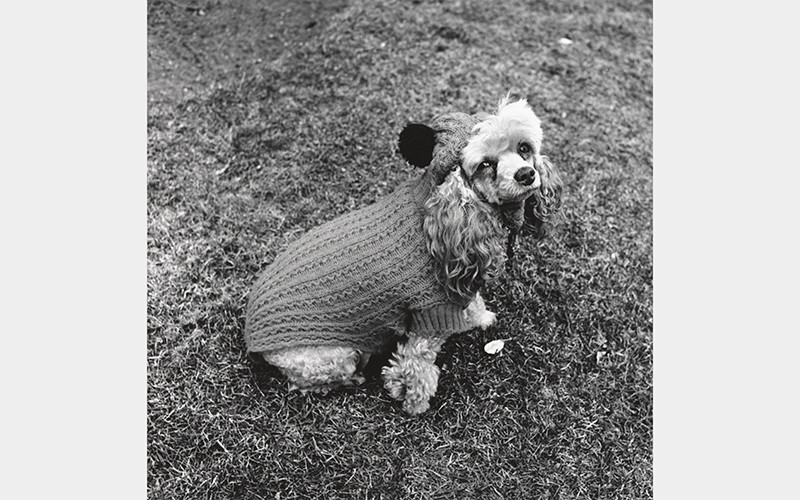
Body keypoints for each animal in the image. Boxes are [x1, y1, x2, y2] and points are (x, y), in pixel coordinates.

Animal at [244, 96, 564, 414]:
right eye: (485, 164)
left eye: (524, 148)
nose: (527, 174)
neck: (445, 213)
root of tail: (251, 333)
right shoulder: (428, 316)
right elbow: (415, 367)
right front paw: (414, 402)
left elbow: (472, 302)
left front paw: (481, 316)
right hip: (332, 357)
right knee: (307, 383)